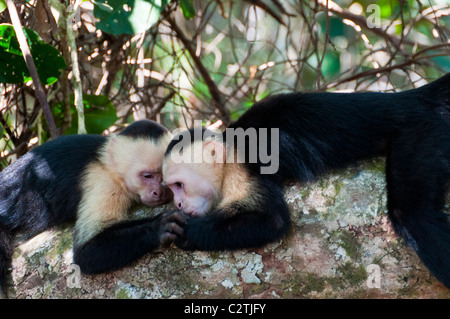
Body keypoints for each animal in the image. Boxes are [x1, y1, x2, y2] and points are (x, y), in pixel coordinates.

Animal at [0, 120, 182, 300]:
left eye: (164, 178)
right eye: (147, 176)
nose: (159, 192)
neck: (108, 166)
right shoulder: (104, 181)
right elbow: (85, 252)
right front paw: (159, 226)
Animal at [163, 74, 450, 290]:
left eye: (178, 185)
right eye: (172, 189)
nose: (178, 204)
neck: (228, 149)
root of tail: (410, 98)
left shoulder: (240, 166)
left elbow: (273, 220)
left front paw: (187, 232)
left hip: (420, 130)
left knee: (411, 215)